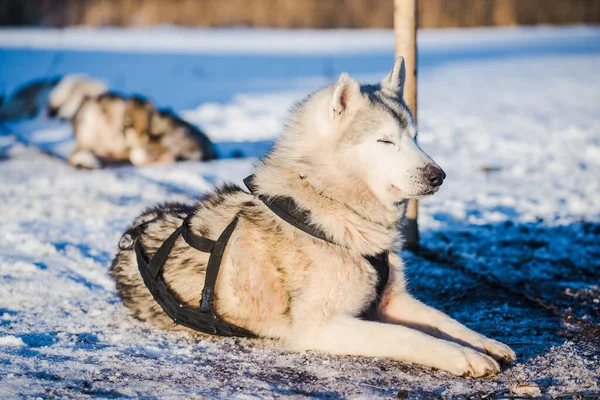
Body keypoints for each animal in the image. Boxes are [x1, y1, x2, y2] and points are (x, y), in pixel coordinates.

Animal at [111, 57, 516, 376]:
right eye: (385, 141)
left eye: (416, 138)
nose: (438, 175)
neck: (331, 210)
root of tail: (135, 230)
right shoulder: (323, 327)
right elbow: (409, 335)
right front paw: (464, 357)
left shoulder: (392, 301)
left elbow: (446, 321)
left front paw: (484, 343)